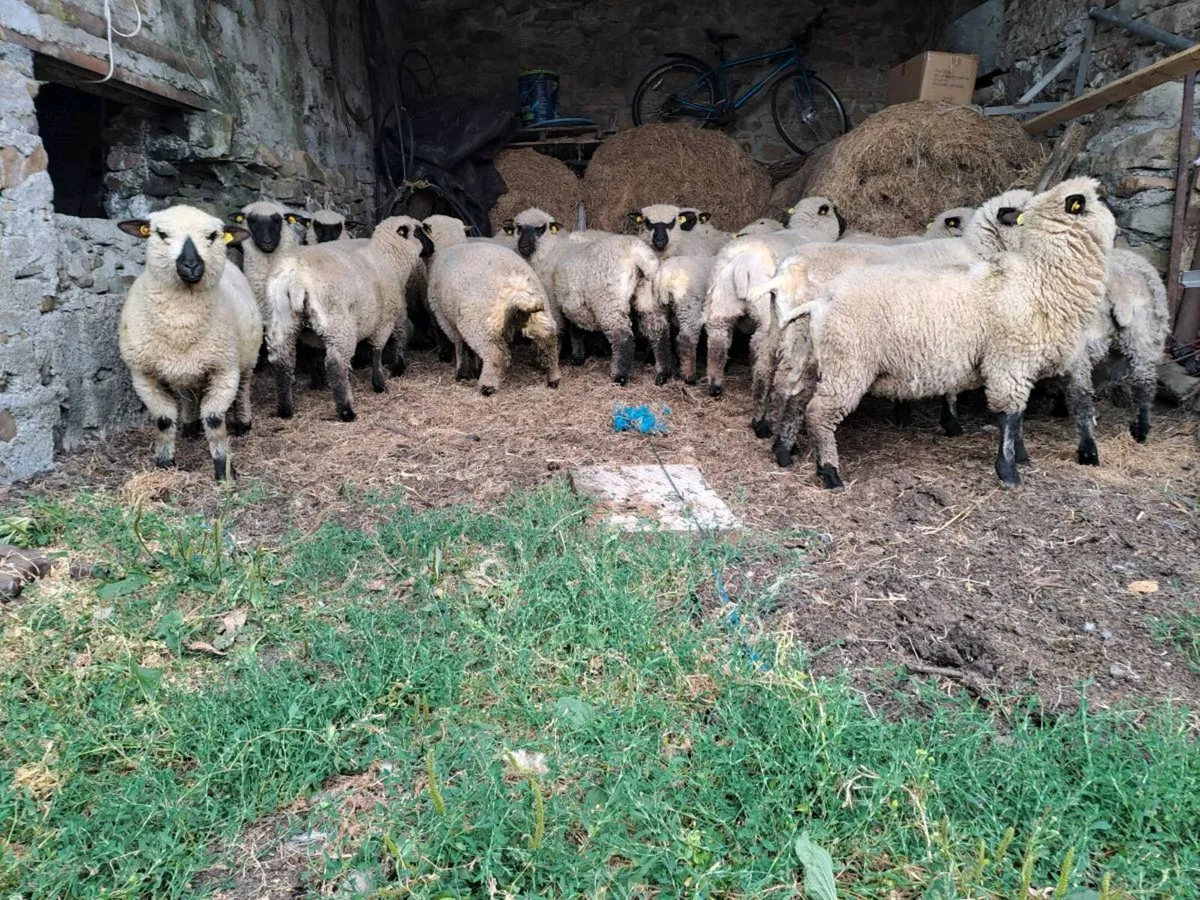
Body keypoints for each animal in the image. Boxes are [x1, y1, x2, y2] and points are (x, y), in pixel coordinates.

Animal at [117, 206, 261, 481]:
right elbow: (163, 420)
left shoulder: (225, 370)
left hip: (247, 358)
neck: (181, 324)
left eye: (213, 236)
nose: (192, 265)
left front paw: (223, 467)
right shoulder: (143, 375)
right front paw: (164, 462)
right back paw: (190, 426)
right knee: (188, 395)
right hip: (184, 371)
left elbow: (214, 420)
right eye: (161, 234)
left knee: (244, 390)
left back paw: (243, 423)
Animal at [266, 215, 429, 422]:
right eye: (419, 233)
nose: (432, 247)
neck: (388, 255)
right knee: (336, 364)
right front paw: (381, 382)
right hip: (338, 324)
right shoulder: (386, 317)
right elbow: (379, 349)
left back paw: (285, 409)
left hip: (281, 323)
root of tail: (295, 280)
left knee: (282, 362)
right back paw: (346, 410)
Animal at [423, 217, 561, 394]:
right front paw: (476, 368)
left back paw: (487, 386)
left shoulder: (446, 318)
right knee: (548, 342)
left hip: (480, 323)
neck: (448, 245)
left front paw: (462, 373)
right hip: (540, 312)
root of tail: (515, 285)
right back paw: (553, 378)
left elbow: (459, 344)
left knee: (495, 354)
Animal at [512, 207, 666, 384]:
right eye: (519, 228)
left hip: (608, 301)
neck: (551, 249)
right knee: (658, 329)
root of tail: (637, 253)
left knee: (622, 337)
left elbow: (558, 331)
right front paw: (578, 356)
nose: (523, 246)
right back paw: (662, 372)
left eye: (540, 229)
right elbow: (576, 329)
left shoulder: (553, 300)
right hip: (646, 293)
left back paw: (619, 375)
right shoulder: (573, 301)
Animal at [778, 177, 1116, 489]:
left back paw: (784, 451)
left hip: (811, 356)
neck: (1041, 276)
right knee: (819, 412)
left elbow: (1015, 415)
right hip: (848, 362)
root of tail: (822, 300)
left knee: (795, 398)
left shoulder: (1010, 362)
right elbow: (1008, 414)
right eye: (1098, 198)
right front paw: (1007, 470)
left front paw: (1018, 456)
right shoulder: (1007, 360)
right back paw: (829, 472)